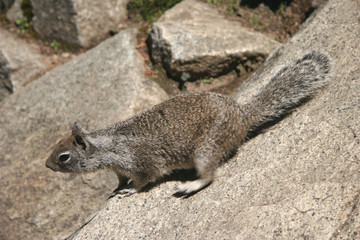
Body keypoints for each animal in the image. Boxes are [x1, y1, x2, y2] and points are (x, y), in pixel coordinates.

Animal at [45, 51, 332, 197]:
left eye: (63, 156)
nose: (46, 166)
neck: (108, 147)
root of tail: (242, 116)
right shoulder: (119, 169)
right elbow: (120, 180)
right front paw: (116, 188)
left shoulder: (141, 162)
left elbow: (144, 179)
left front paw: (130, 191)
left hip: (205, 148)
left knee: (210, 175)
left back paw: (189, 186)